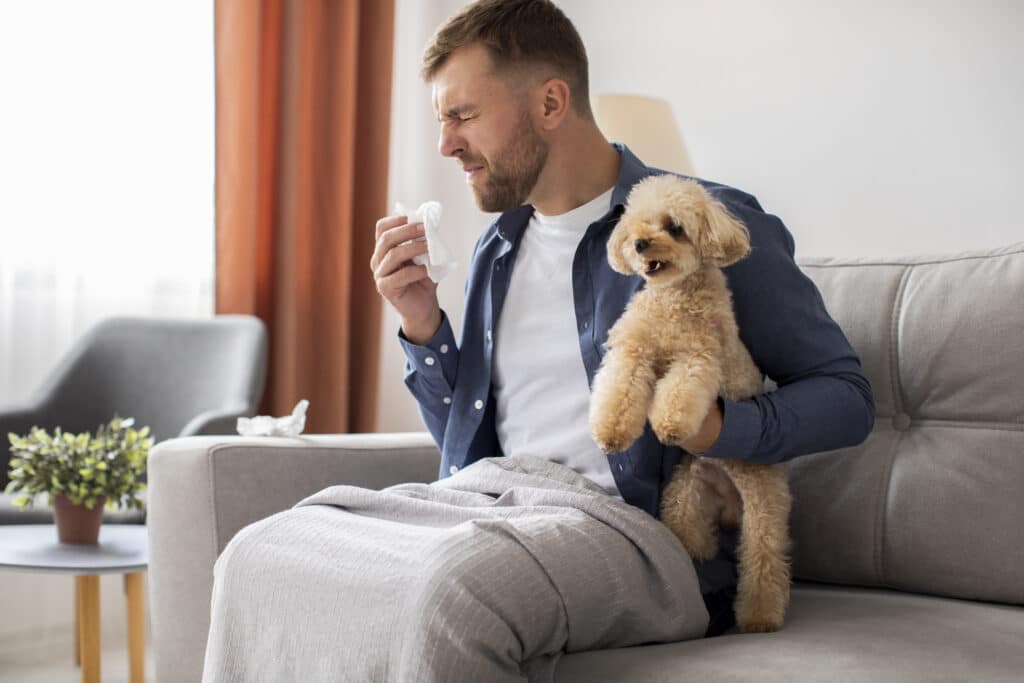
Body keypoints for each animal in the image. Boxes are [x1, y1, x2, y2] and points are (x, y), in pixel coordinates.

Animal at [589, 174, 794, 634]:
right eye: (639, 222)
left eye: (675, 227)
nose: (641, 243)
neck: (672, 297)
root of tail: (730, 501)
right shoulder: (633, 351)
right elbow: (618, 391)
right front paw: (611, 432)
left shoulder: (696, 358)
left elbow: (680, 393)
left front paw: (669, 424)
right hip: (684, 494)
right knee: (693, 535)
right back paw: (699, 551)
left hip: (764, 511)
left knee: (764, 563)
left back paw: (760, 617)